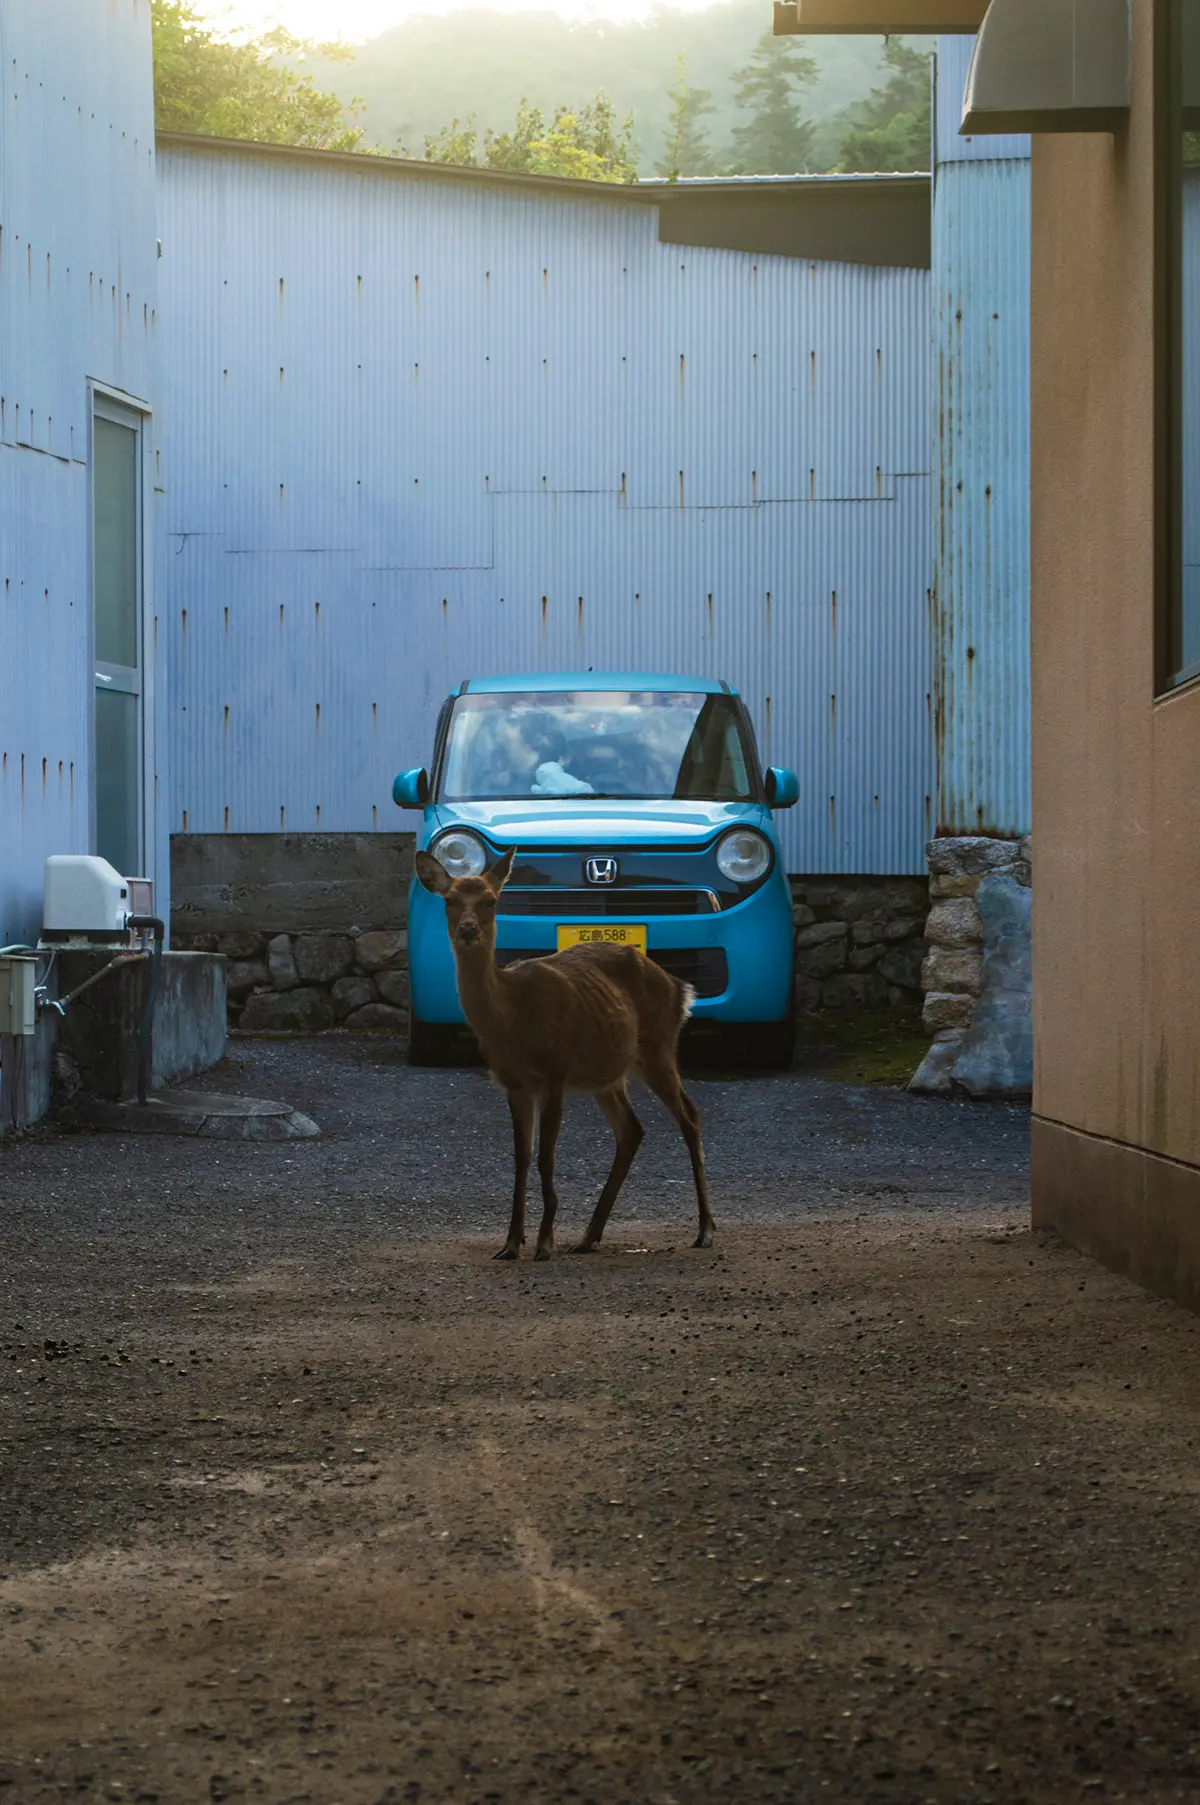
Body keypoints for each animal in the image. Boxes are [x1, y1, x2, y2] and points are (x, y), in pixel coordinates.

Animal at [414, 845, 714, 1262]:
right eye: (450, 900)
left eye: (491, 901)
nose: (469, 930)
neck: (512, 1018)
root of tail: (680, 988)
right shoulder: (514, 1084)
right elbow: (521, 1157)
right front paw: (511, 1243)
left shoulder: (554, 1073)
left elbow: (546, 1156)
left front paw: (543, 1242)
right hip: (608, 1073)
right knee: (632, 1130)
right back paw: (588, 1237)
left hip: (659, 1045)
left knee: (689, 1115)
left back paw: (705, 1230)